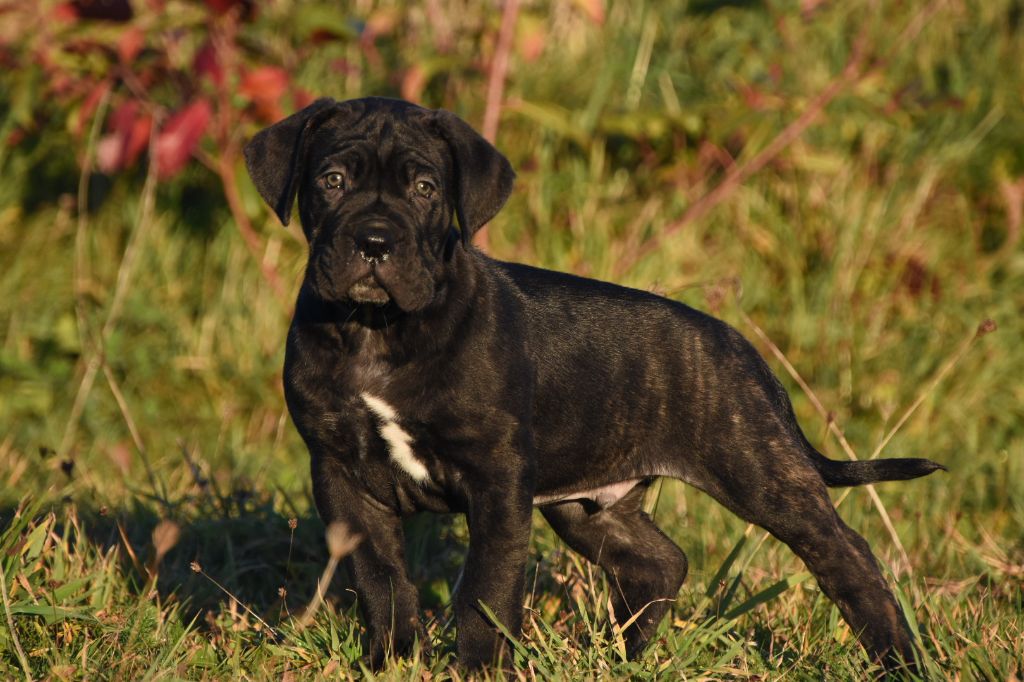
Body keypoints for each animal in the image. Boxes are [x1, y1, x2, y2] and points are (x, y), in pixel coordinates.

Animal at [241, 96, 942, 667]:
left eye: (424, 187)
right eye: (332, 181)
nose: (375, 241)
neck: (378, 331)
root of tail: (741, 348)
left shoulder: (496, 479)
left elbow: (485, 590)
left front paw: (478, 668)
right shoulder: (341, 476)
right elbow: (381, 581)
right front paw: (386, 661)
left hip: (762, 473)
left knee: (847, 557)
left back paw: (898, 660)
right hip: (586, 505)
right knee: (660, 563)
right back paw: (627, 656)